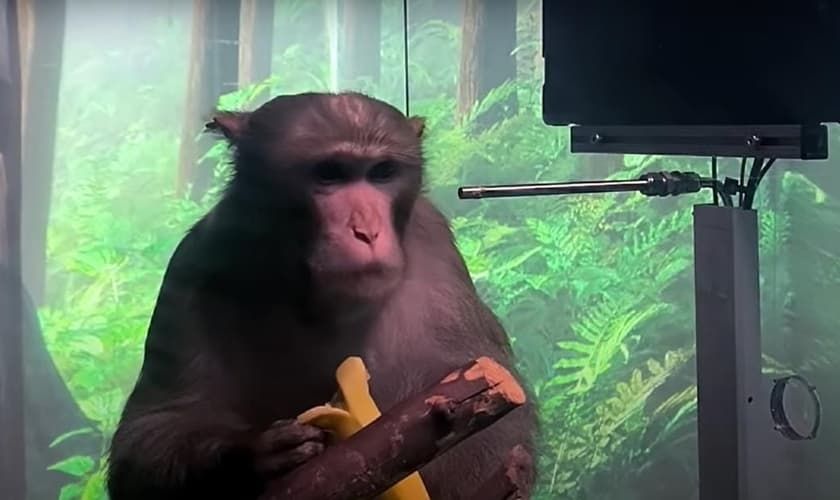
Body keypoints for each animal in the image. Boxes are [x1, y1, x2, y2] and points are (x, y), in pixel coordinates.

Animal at [105, 91, 538, 500]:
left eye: (381, 173)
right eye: (329, 174)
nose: (367, 230)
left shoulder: (436, 254)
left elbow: (491, 422)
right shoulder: (199, 260)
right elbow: (153, 431)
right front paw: (253, 454)